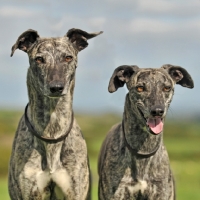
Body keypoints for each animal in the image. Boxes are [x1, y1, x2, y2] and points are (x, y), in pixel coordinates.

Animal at [8, 28, 102, 200]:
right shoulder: (29, 190)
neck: (52, 128)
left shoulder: (75, 189)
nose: (56, 87)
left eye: (68, 57)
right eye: (39, 59)